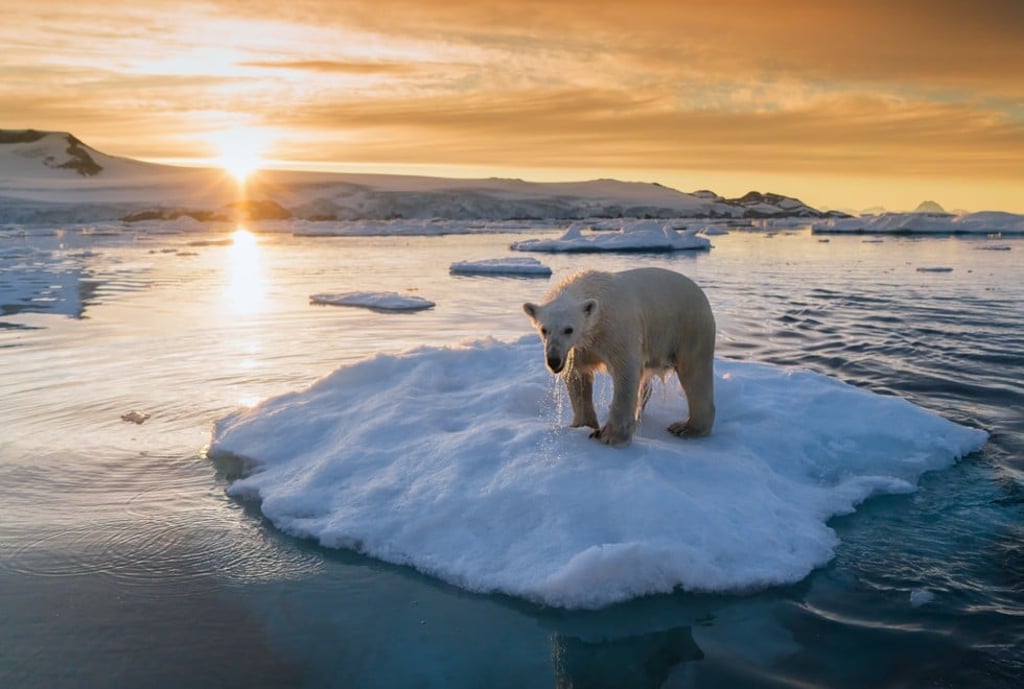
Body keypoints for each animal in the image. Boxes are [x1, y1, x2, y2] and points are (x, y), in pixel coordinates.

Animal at [523, 267, 715, 447]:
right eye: (544, 329)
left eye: (568, 329)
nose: (553, 361)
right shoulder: (579, 348)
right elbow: (578, 378)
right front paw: (582, 425)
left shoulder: (615, 330)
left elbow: (625, 371)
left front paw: (609, 436)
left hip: (688, 328)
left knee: (694, 374)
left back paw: (686, 428)